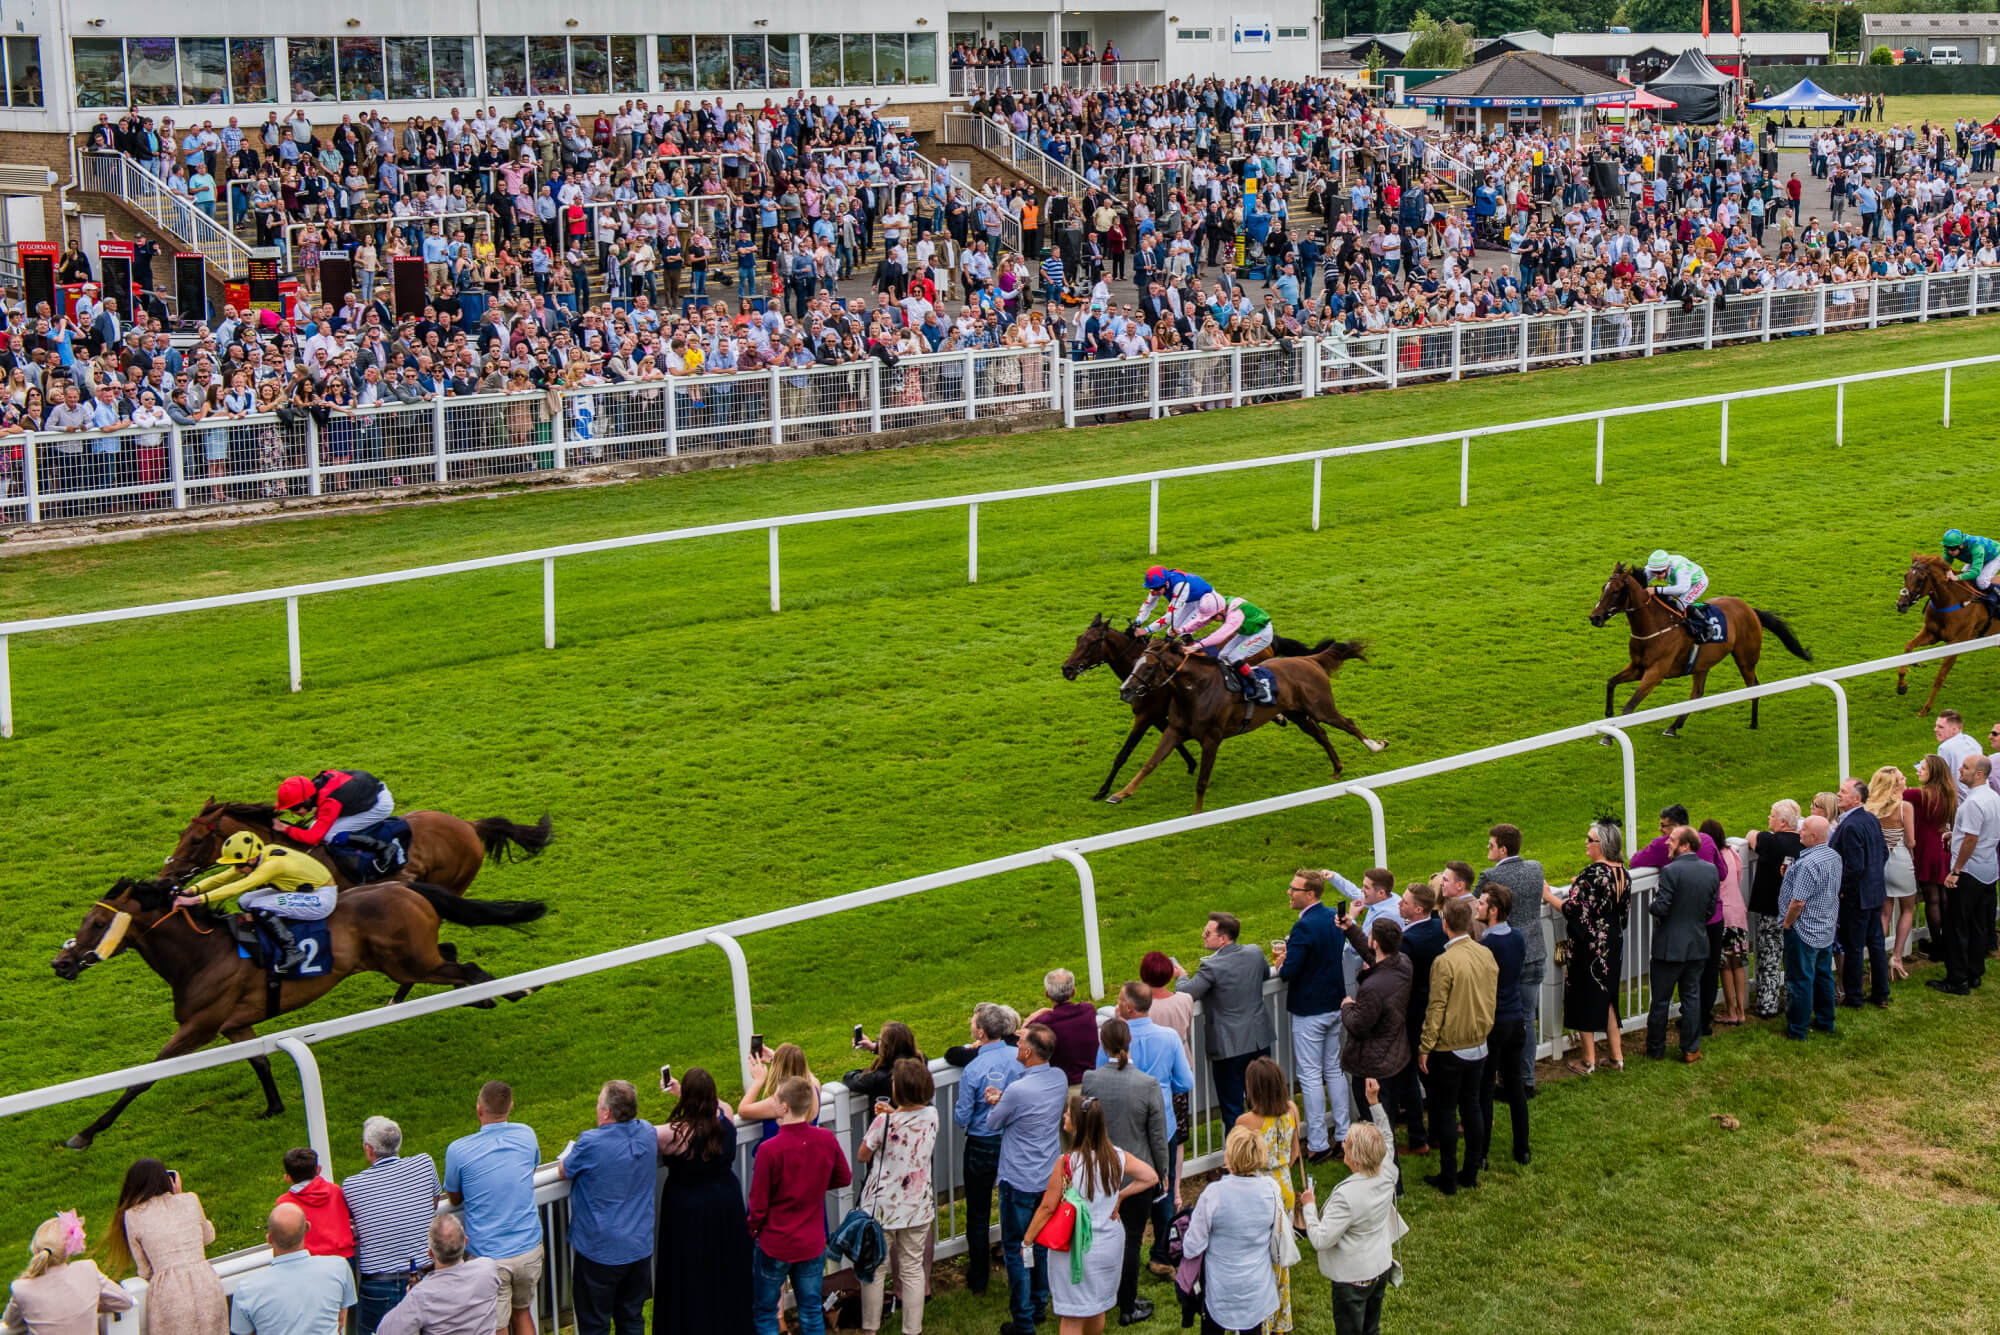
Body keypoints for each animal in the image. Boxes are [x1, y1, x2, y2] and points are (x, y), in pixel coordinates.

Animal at [48, 875, 548, 1151]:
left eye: (98, 923)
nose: (61, 964)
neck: (202, 954)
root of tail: (403, 885)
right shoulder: (235, 1024)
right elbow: (260, 1060)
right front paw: (273, 1106)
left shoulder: (199, 1026)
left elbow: (143, 1079)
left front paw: (85, 1134)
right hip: (408, 959)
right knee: (453, 954)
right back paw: (483, 995)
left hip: (408, 960)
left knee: (467, 967)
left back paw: (511, 990)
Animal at [1104, 635, 1384, 815]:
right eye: (1136, 662)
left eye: (1150, 667)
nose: (1125, 690)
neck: (1197, 690)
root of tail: (1310, 660)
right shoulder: (1175, 730)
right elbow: (1150, 763)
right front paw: (1119, 794)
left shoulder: (1212, 738)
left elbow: (1202, 780)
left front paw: (1196, 814)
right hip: (1296, 713)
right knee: (1321, 733)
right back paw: (1337, 768)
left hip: (1321, 707)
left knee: (1347, 723)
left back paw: (1375, 746)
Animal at [1592, 559, 1816, 735]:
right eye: (1603, 588)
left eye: (1616, 591)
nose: (1594, 617)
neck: (1655, 627)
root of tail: (1750, 609)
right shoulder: (1637, 667)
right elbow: (1611, 683)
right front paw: (1608, 716)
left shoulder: (1655, 673)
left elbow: (1629, 707)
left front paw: (1608, 736)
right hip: (1702, 664)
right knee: (1697, 694)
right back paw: (1673, 727)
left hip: (1745, 658)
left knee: (1754, 685)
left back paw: (1753, 722)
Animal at [1896, 551, 1992, 715]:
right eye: (1905, 575)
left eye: (1921, 579)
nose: (1900, 604)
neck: (1950, 601)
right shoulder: (1932, 633)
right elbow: (1908, 647)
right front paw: (1902, 686)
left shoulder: (1956, 644)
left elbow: (1940, 677)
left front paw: (1926, 709)